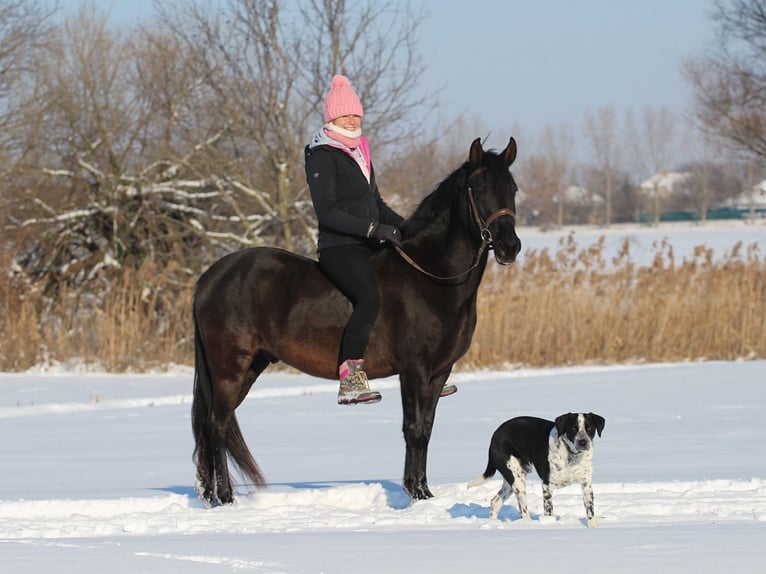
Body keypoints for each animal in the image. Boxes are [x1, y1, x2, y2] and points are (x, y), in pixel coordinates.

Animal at [192, 137, 521, 505]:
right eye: (478, 187)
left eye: (512, 189)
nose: (510, 247)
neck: (431, 277)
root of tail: (210, 278)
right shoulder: (414, 370)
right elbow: (413, 429)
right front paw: (415, 494)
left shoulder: (439, 372)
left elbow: (426, 429)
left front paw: (424, 493)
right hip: (229, 367)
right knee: (217, 425)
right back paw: (225, 498)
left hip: (250, 366)